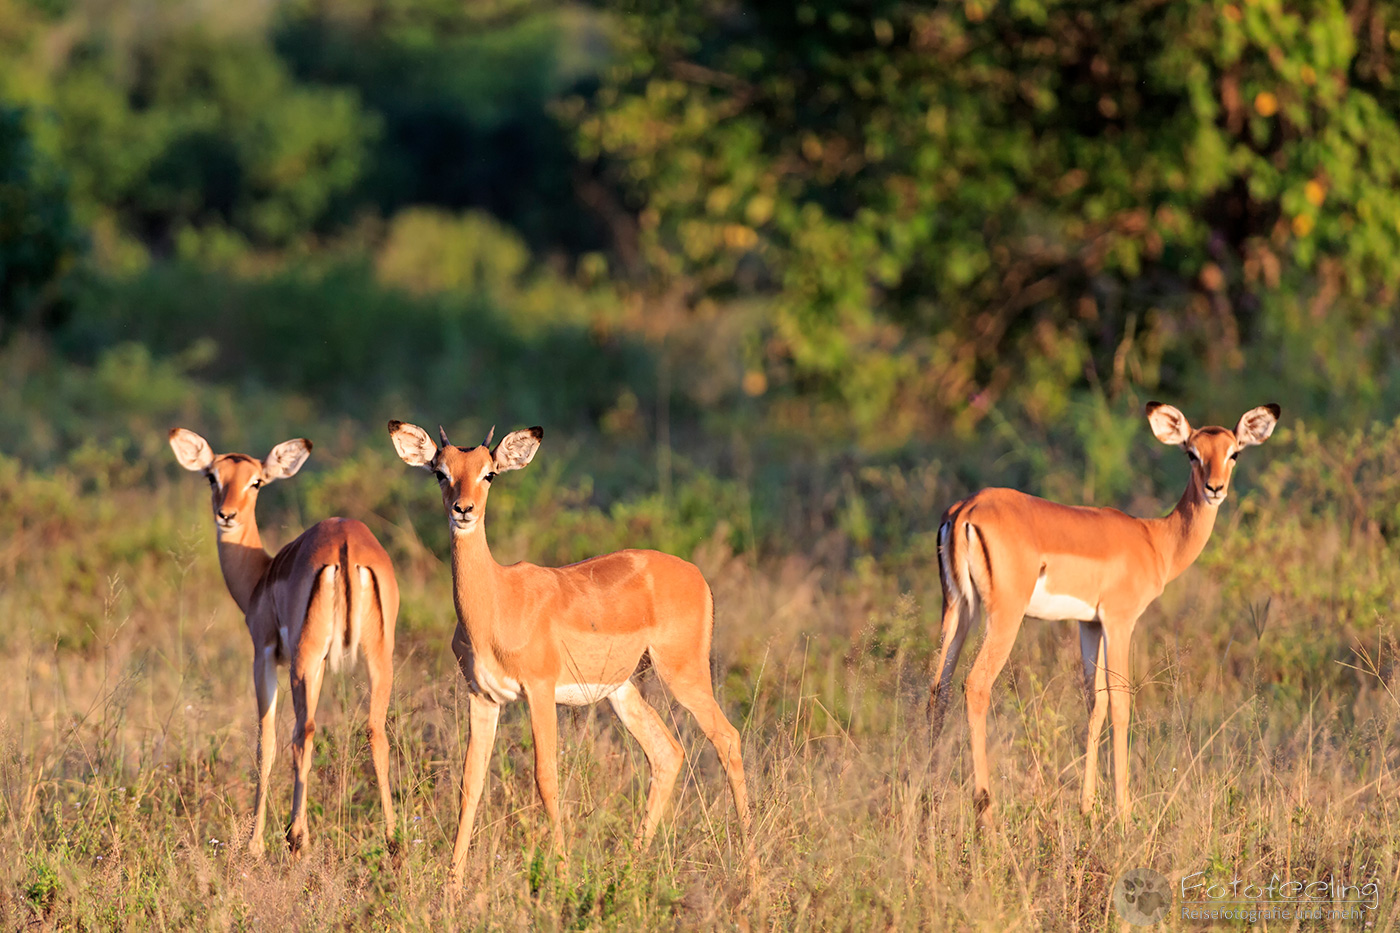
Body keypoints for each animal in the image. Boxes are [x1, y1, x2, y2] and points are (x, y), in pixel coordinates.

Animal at [169, 429, 399, 856]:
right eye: (212, 476)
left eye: (256, 482)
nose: (227, 515)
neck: (260, 576)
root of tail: (347, 544)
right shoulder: (321, 665)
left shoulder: (263, 656)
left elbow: (266, 743)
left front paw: (255, 843)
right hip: (377, 658)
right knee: (376, 730)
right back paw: (393, 842)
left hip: (302, 662)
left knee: (302, 732)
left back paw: (295, 838)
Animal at [386, 420, 751, 894]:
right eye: (440, 472)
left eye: (490, 473)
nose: (463, 510)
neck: (498, 602)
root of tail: (698, 576)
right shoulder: (483, 696)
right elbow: (470, 782)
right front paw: (451, 887)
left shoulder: (540, 691)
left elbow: (546, 778)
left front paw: (560, 878)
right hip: (622, 691)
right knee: (667, 752)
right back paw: (628, 870)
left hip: (683, 674)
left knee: (727, 738)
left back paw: (753, 873)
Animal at [929, 402, 1280, 823]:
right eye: (1192, 453)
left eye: (1234, 453)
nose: (1215, 489)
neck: (1155, 541)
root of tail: (965, 509)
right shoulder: (1119, 621)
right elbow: (1121, 702)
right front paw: (1124, 811)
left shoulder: (1089, 624)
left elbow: (1093, 704)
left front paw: (1087, 807)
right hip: (1003, 616)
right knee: (976, 685)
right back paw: (984, 808)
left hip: (957, 610)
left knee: (938, 688)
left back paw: (926, 801)